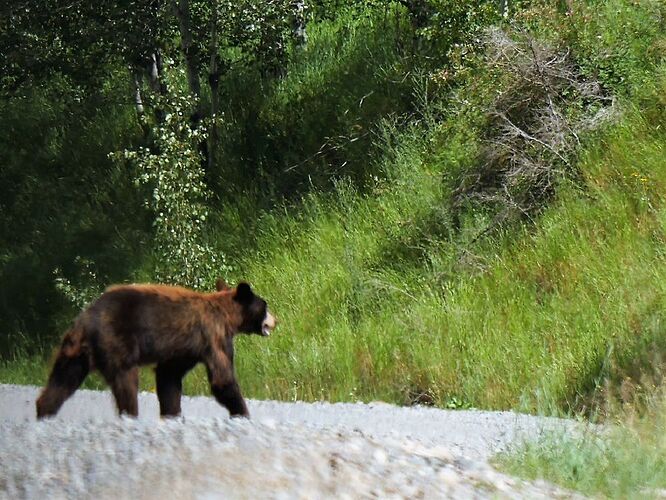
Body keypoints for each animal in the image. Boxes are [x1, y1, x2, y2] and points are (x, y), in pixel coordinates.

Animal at [35, 280, 274, 420]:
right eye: (265, 305)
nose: (275, 320)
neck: (227, 316)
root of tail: (85, 319)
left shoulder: (184, 349)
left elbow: (169, 376)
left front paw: (171, 414)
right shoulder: (213, 336)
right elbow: (222, 379)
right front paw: (242, 413)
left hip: (75, 352)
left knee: (63, 380)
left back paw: (44, 413)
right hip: (116, 343)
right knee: (126, 382)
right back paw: (130, 416)